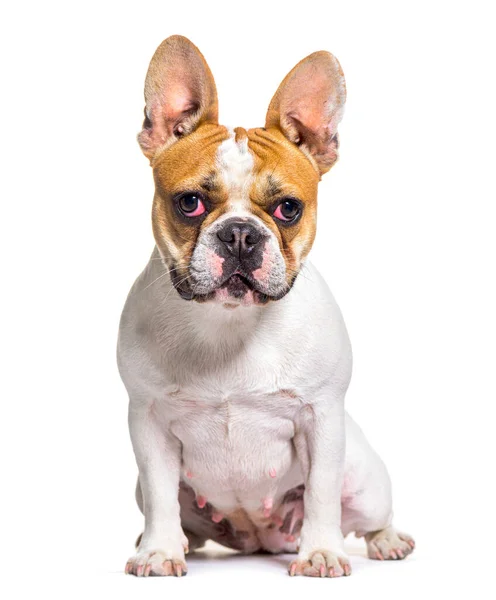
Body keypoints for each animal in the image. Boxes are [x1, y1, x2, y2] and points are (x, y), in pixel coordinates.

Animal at [117, 35, 414, 580]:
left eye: (288, 209)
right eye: (189, 202)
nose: (240, 233)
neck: (230, 323)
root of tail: (259, 537)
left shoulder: (322, 417)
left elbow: (321, 494)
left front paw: (320, 553)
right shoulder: (147, 421)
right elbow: (161, 495)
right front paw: (160, 550)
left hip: (366, 479)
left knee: (369, 514)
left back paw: (387, 541)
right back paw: (178, 541)